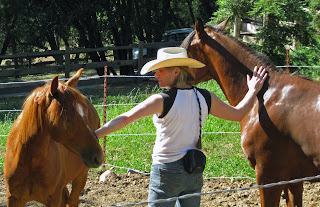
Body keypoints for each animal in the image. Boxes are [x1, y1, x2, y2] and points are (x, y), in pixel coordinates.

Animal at [4, 69, 104, 207]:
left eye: (84, 114)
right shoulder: (13, 199)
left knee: (72, 200)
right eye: (68, 118)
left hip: (81, 176)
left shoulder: (53, 199)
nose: (98, 156)